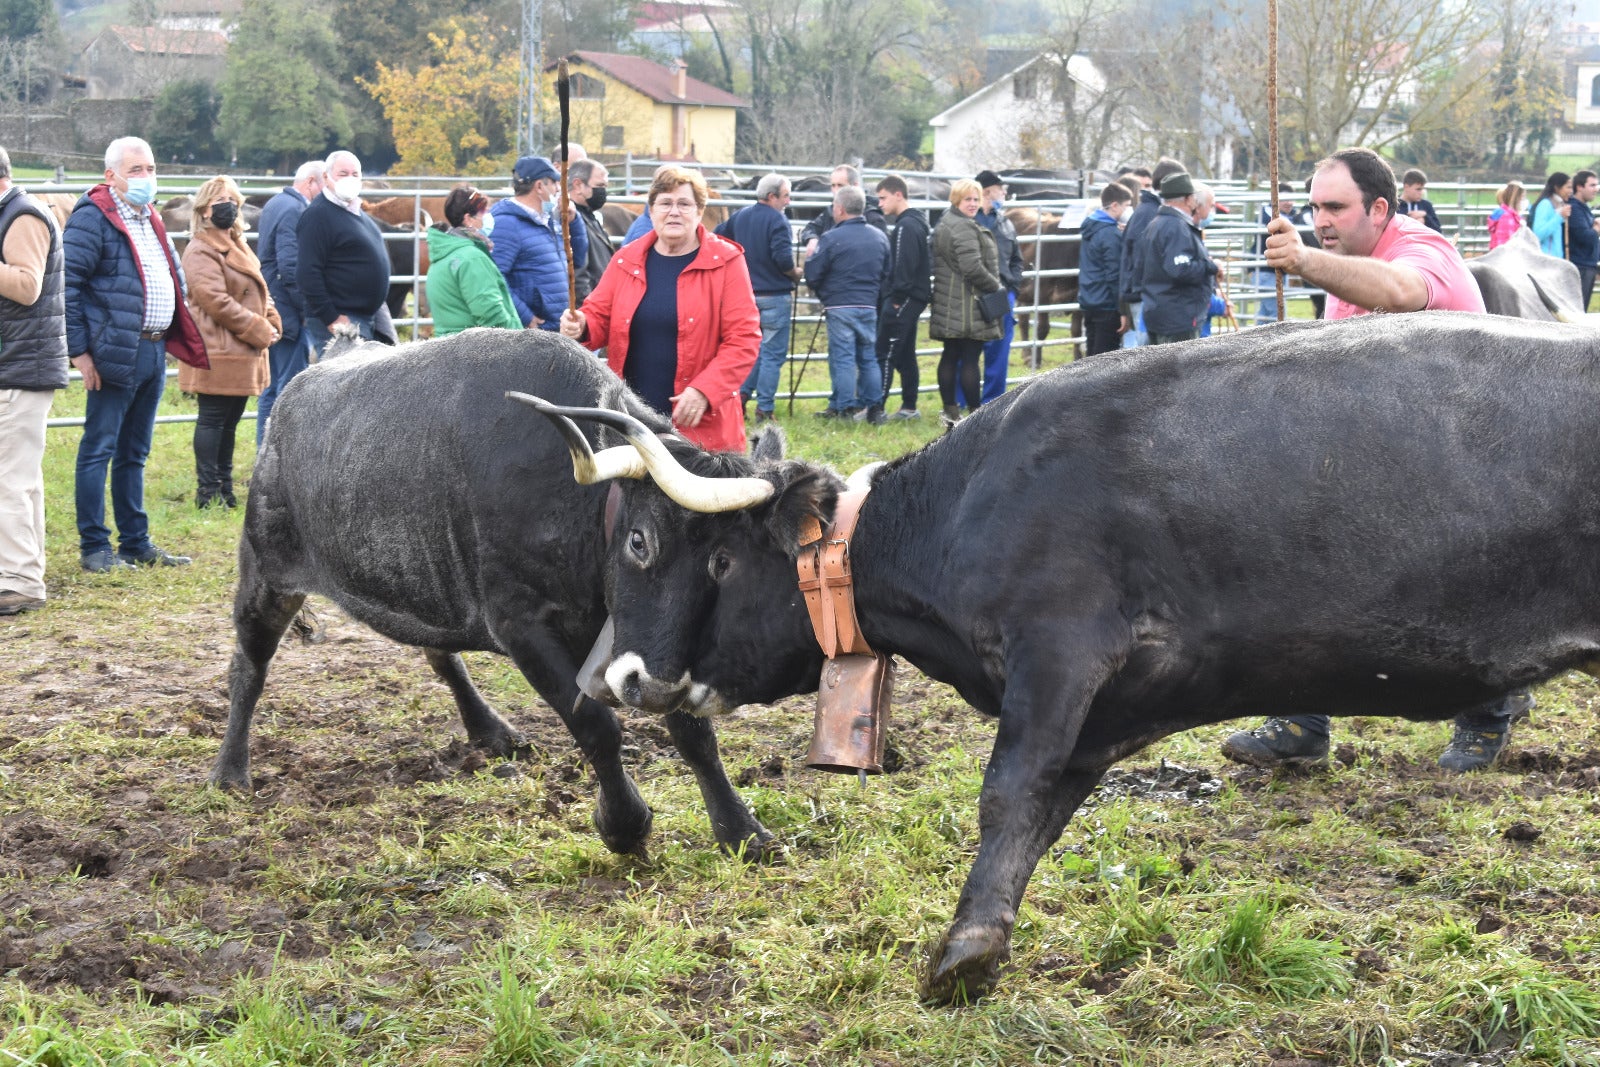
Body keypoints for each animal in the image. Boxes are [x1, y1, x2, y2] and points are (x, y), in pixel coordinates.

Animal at [212, 329, 774, 863]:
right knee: (249, 667)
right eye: (640, 540)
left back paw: (491, 731)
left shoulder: (651, 648)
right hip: (266, 576)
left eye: (725, 561)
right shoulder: (521, 626)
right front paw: (623, 825)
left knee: (441, 656)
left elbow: (694, 733)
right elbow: (596, 726)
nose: (654, 688)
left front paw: (742, 830)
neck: (579, 507)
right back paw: (230, 771)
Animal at [528, 313, 1600, 1004]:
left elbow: (1008, 792)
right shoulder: (1108, 700)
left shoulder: (1061, 648)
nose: (615, 678)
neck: (963, 507)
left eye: (646, 546)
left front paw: (960, 955)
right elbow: (1041, 808)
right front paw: (983, 940)